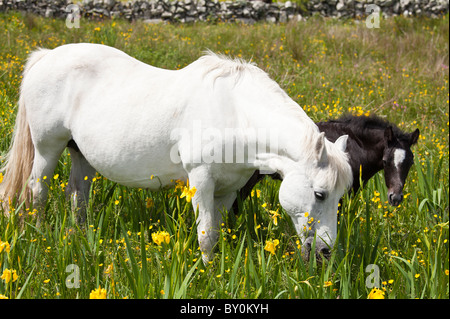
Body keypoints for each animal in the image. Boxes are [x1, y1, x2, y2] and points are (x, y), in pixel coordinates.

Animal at [0, 43, 352, 262]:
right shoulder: (202, 180)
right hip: (47, 148)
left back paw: (80, 237)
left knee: (78, 195)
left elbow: (217, 231)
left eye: (340, 196)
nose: (326, 252)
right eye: (320, 194)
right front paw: (208, 276)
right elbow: (206, 235)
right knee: (38, 190)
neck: (235, 113)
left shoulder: (228, 189)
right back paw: (40, 234)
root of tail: (47, 56)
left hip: (81, 154)